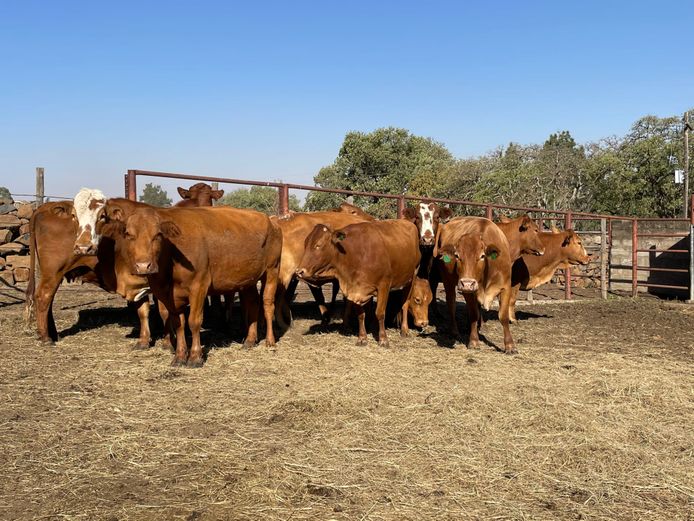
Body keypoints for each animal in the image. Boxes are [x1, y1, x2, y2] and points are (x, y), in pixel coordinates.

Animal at [103, 205, 282, 367]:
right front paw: (180, 356)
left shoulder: (199, 287)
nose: (143, 266)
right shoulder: (168, 295)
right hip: (248, 280)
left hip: (271, 271)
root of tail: (271, 220)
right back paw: (250, 340)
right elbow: (178, 324)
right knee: (253, 303)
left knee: (267, 304)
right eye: (128, 234)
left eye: (158, 235)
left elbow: (194, 321)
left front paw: (195, 357)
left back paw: (270, 341)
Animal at [435, 217, 516, 353]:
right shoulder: (468, 292)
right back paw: (455, 332)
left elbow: (503, 316)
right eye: (457, 256)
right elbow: (473, 314)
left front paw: (509, 345)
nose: (467, 283)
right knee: (451, 303)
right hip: (448, 280)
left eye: (482, 256)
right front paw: (473, 341)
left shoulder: (506, 287)